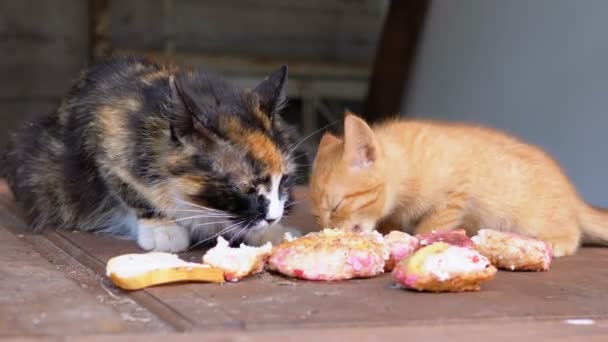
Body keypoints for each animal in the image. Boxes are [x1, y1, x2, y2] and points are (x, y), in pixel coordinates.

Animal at [2, 56, 302, 252]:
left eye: (284, 181)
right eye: (246, 189)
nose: (273, 217)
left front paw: (273, 231)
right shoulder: (106, 139)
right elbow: (129, 189)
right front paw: (163, 228)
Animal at [312, 112, 608, 256]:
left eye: (335, 207)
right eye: (318, 218)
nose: (328, 230)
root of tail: (572, 195)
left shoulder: (457, 192)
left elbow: (432, 225)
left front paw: (419, 240)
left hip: (533, 219)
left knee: (572, 231)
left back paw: (559, 242)